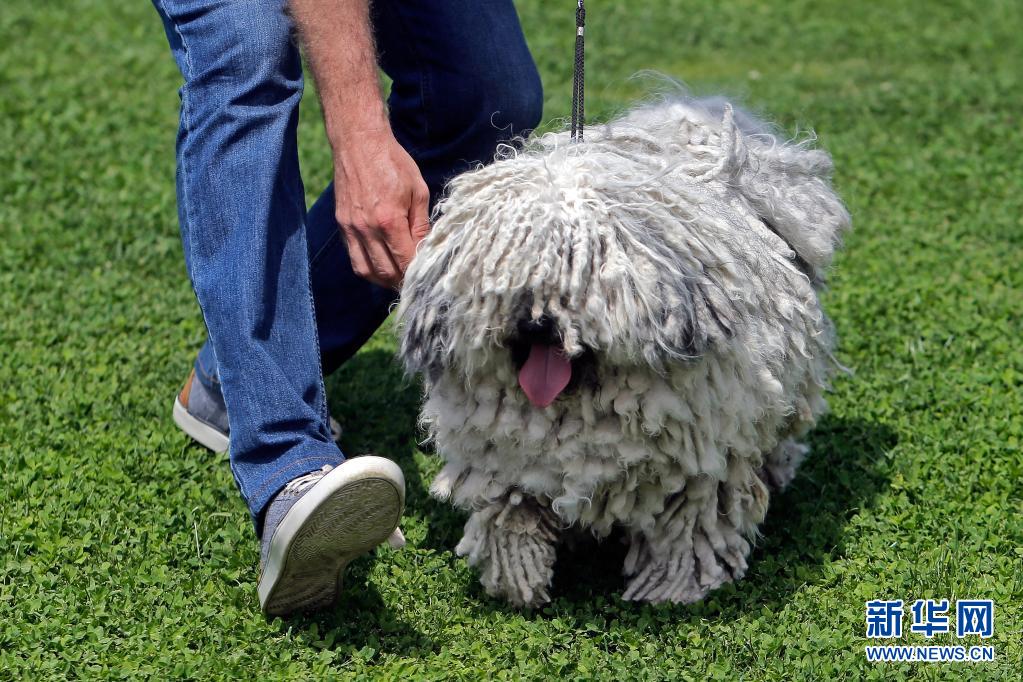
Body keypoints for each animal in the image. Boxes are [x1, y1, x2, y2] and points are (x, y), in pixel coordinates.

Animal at [397, 94, 850, 606]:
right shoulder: (505, 454)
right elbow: (511, 508)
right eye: (508, 276)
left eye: (582, 271)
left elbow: (688, 523)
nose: (537, 324)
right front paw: (519, 575)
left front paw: (671, 587)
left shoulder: (701, 461)